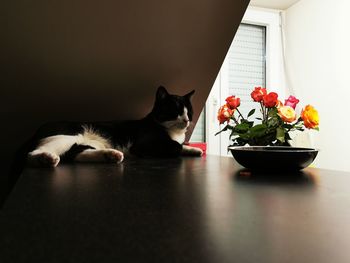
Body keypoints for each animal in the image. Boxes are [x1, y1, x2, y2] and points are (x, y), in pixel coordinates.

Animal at [26, 86, 202, 167]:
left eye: (189, 112)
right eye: (176, 111)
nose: (187, 120)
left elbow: (180, 145)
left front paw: (194, 149)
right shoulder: (143, 145)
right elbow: (175, 146)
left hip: (87, 142)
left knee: (74, 154)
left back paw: (111, 155)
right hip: (68, 135)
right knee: (32, 154)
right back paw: (45, 158)